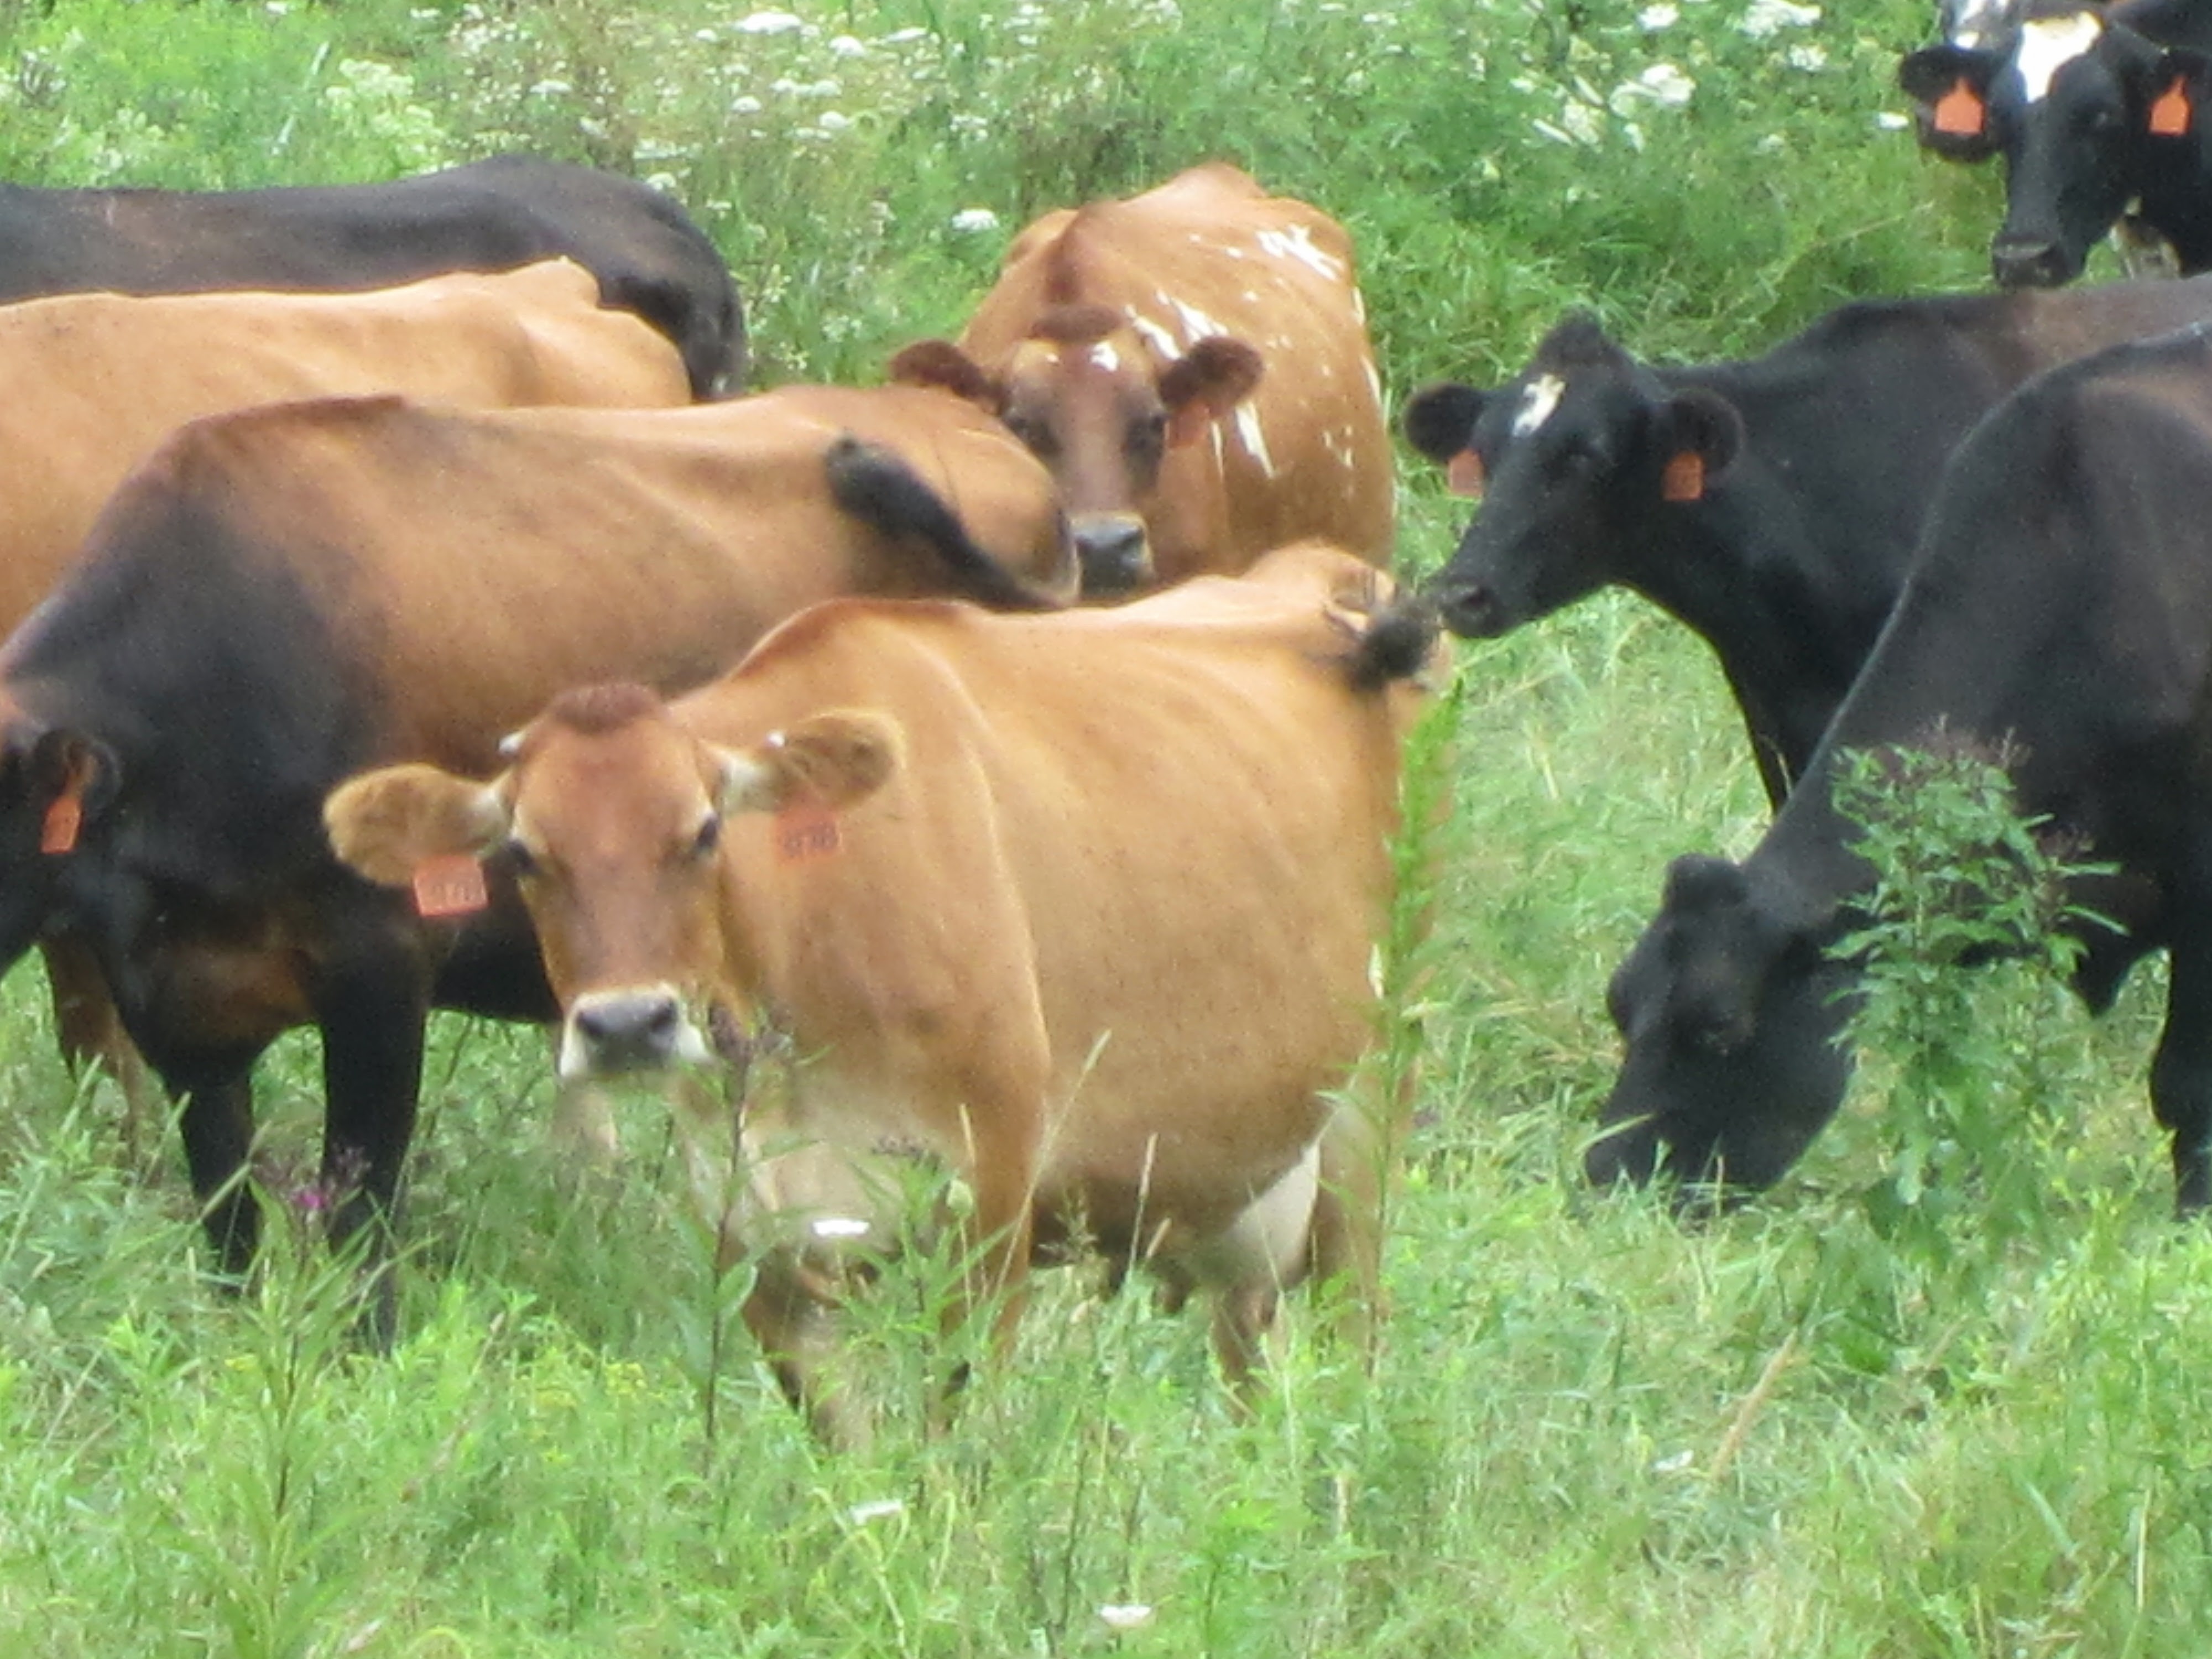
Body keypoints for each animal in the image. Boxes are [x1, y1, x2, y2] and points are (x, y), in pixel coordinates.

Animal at [320, 542, 1438, 1440]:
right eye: (523, 853)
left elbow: (956, 1445)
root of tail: (1320, 575)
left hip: (1369, 1120)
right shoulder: (755, 1237)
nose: (628, 1025)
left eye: (704, 832)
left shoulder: (991, 1204)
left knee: (1359, 1351)